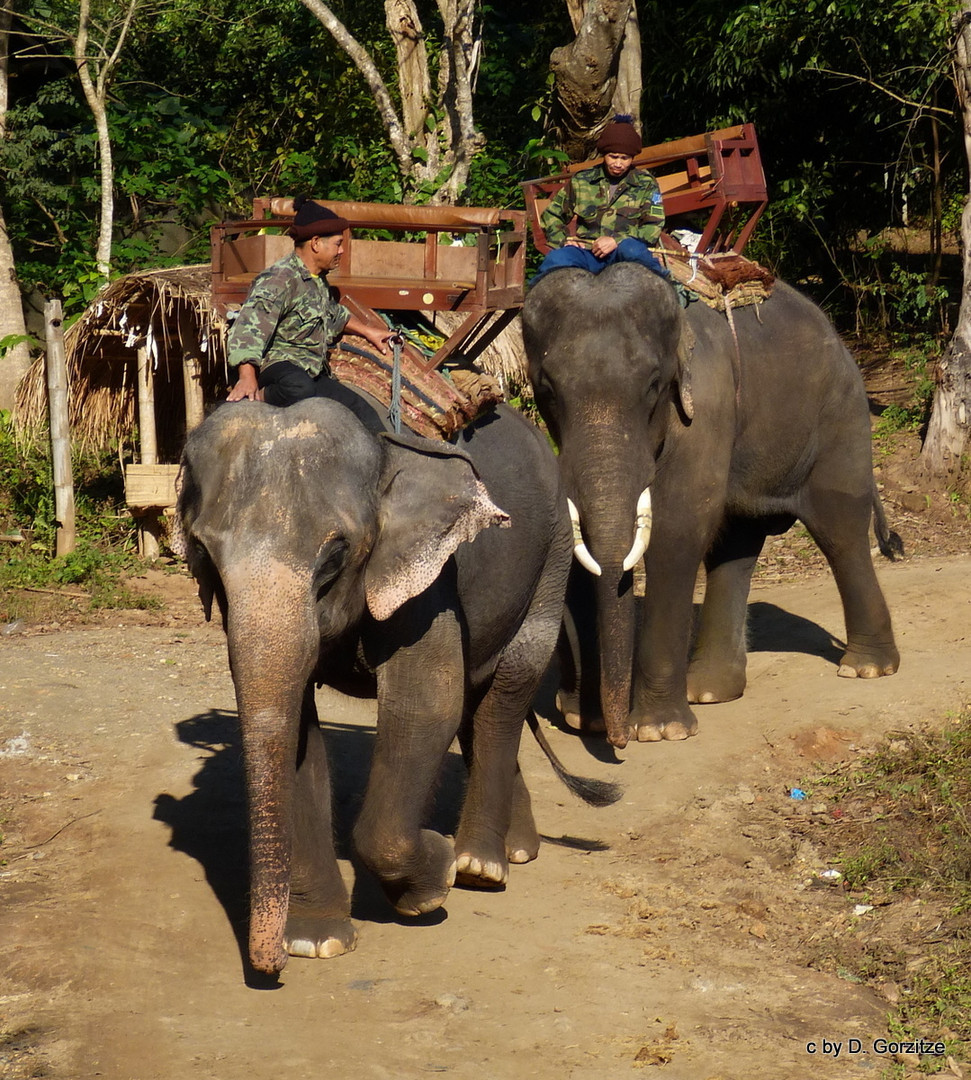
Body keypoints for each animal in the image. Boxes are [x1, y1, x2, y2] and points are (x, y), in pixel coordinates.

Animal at [174, 399, 574, 980]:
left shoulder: (430, 581)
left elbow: (426, 705)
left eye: (335, 556)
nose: (269, 967)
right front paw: (316, 942)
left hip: (553, 556)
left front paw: (433, 881)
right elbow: (298, 731)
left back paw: (480, 866)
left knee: (505, 693)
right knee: (478, 700)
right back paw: (517, 849)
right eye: (204, 555)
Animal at [524, 262, 902, 751]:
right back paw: (708, 691)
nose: (617, 740)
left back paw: (867, 668)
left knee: (840, 529)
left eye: (653, 386)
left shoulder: (705, 405)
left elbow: (677, 531)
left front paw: (660, 731)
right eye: (548, 389)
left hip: (840, 416)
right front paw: (584, 719)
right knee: (735, 545)